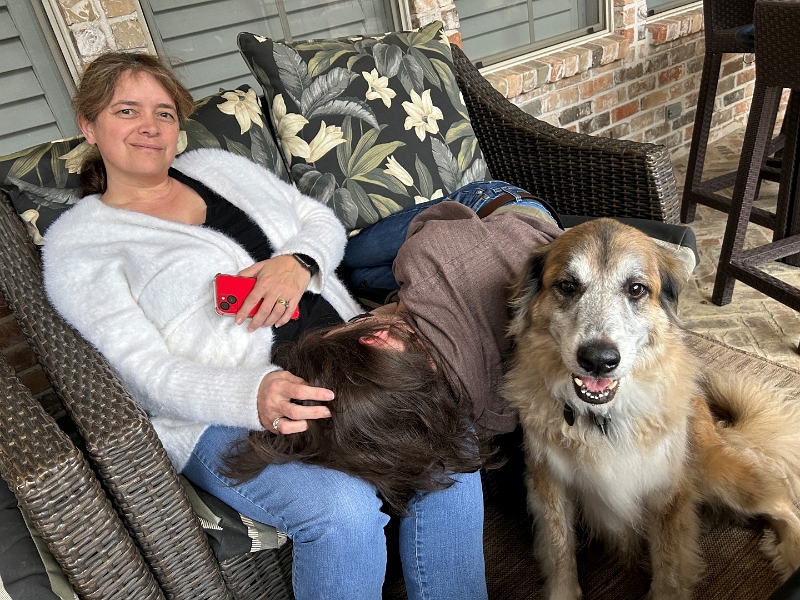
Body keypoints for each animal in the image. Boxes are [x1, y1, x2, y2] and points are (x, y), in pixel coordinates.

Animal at [502, 218, 800, 600]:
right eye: (567, 286)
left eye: (636, 289)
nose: (598, 360)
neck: (604, 419)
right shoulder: (549, 483)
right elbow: (559, 549)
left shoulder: (668, 494)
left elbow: (669, 567)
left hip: (720, 472)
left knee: (782, 503)